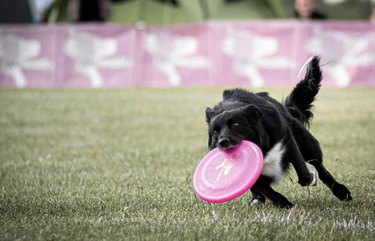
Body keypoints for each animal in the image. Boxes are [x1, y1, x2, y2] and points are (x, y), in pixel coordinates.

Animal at [206, 56, 352, 207]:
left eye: (235, 124)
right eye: (215, 131)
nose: (223, 142)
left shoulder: (287, 138)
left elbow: (303, 173)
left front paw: (310, 179)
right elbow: (265, 188)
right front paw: (284, 204)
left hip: (306, 143)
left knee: (319, 166)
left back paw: (341, 191)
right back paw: (257, 200)